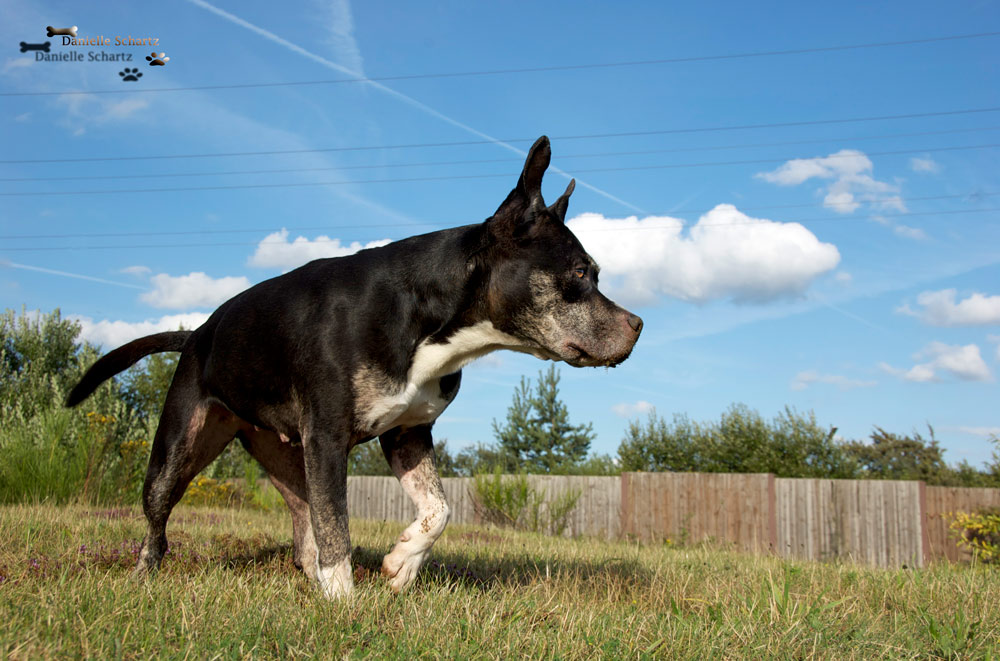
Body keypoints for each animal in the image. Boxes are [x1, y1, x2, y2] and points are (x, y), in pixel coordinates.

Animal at [72, 135, 648, 600]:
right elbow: (339, 528)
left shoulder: (407, 434)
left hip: (286, 456)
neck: (429, 314)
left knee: (304, 527)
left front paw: (402, 564)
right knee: (160, 525)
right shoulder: (328, 437)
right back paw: (144, 577)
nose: (639, 324)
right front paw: (345, 602)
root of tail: (196, 334)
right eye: (581, 273)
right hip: (178, 451)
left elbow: (437, 510)